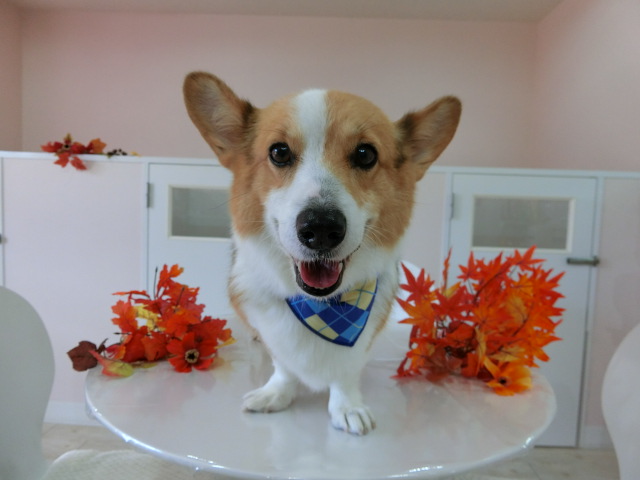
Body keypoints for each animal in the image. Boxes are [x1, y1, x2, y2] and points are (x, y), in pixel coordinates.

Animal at [183, 72, 461, 435]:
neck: (324, 308)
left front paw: (348, 407)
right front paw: (277, 393)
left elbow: (346, 373)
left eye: (365, 154)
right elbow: (284, 366)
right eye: (279, 152)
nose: (321, 228)